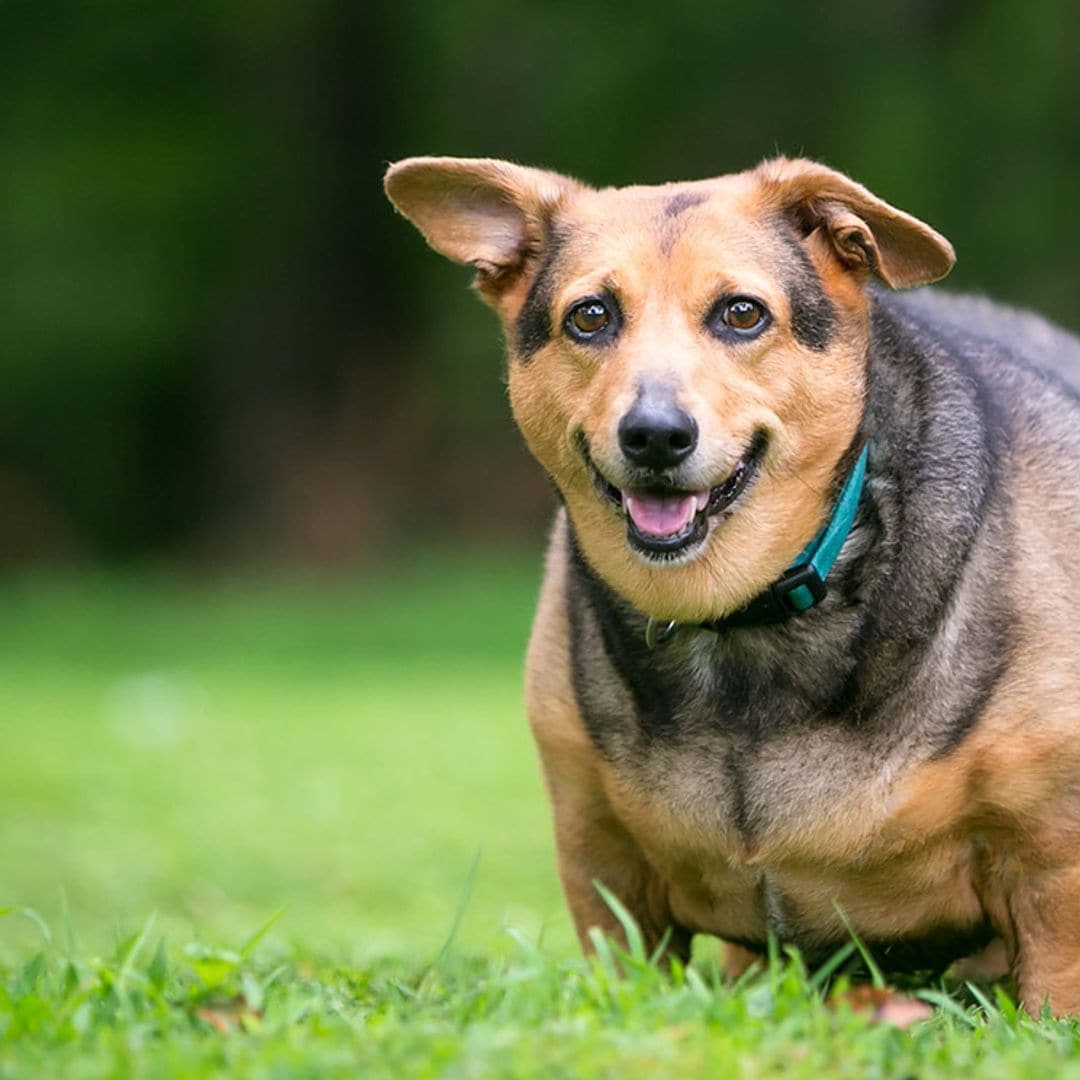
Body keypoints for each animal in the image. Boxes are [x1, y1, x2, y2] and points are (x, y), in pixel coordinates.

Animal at [384, 156, 1080, 1015]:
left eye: (742, 313)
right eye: (590, 317)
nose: (654, 435)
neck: (737, 618)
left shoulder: (1051, 860)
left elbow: (1052, 987)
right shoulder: (601, 857)